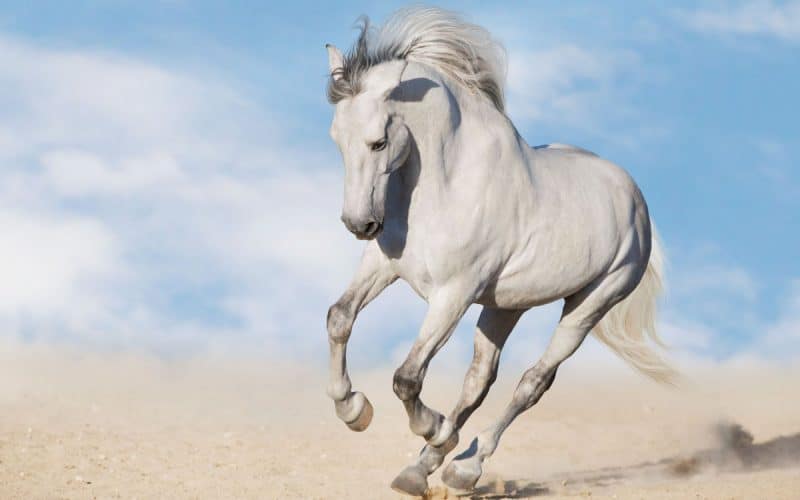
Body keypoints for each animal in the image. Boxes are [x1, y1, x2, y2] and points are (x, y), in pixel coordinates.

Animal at [323, 7, 675, 496]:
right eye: (337, 138)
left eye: (378, 141)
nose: (360, 224)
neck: (446, 183)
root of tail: (636, 200)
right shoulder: (383, 265)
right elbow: (340, 318)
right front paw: (354, 410)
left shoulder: (453, 294)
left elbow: (407, 377)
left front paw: (433, 427)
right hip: (506, 306)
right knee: (480, 379)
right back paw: (424, 467)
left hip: (591, 304)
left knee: (533, 382)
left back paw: (463, 465)